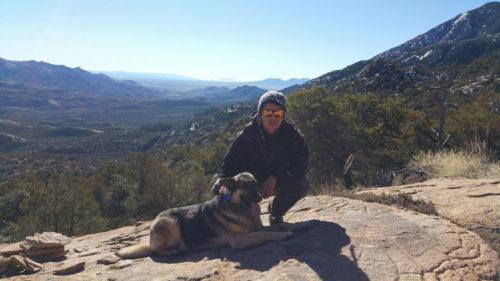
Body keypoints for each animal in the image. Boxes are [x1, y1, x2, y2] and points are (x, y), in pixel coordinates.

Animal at [117, 171, 306, 258]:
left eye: (256, 184)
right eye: (244, 186)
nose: (259, 197)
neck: (236, 206)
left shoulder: (256, 228)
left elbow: (275, 227)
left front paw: (296, 226)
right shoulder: (239, 240)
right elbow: (264, 234)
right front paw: (283, 235)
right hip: (170, 222)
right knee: (154, 250)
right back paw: (170, 251)